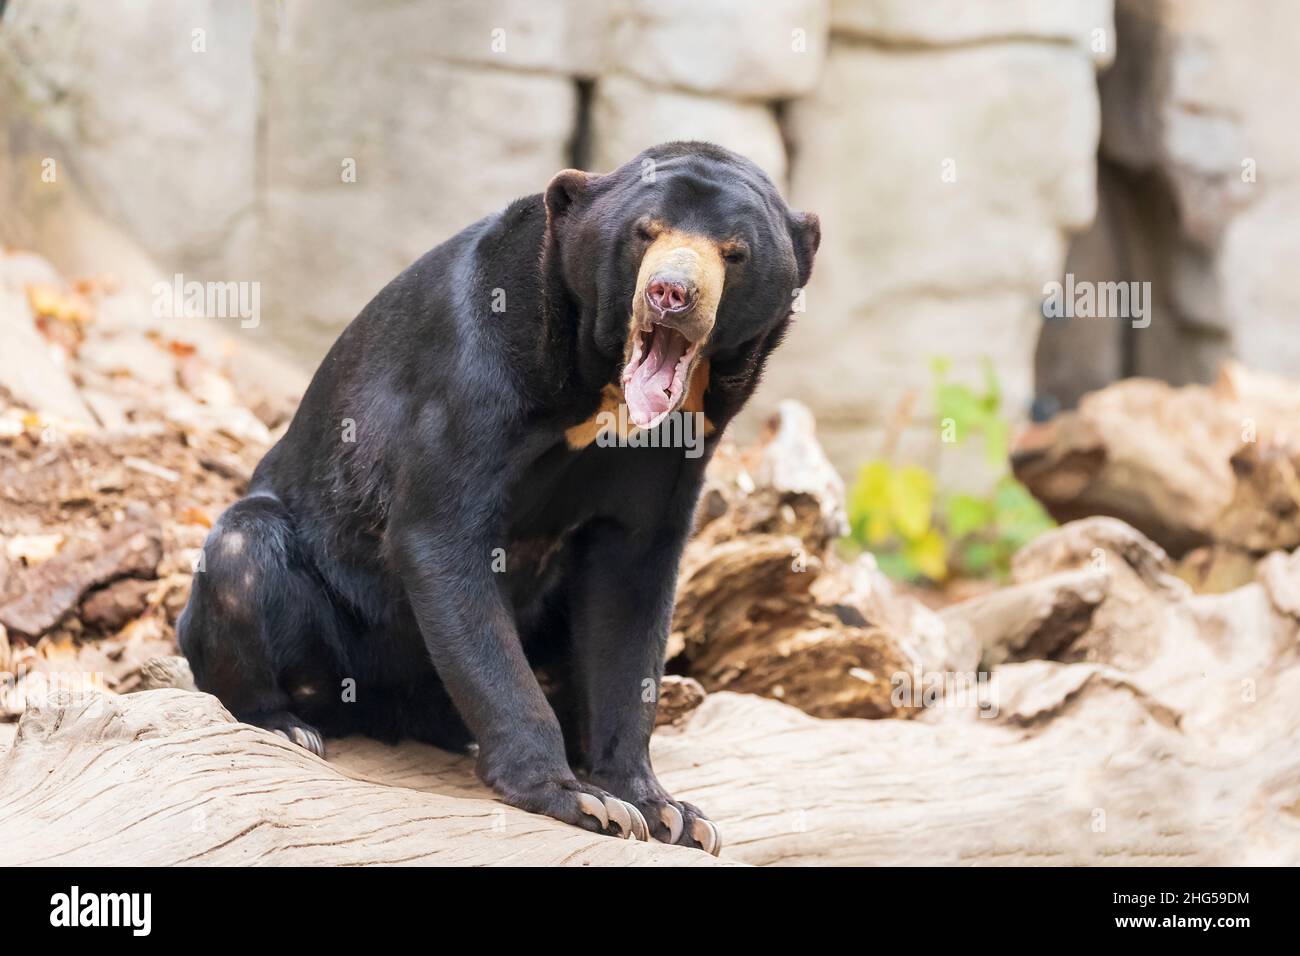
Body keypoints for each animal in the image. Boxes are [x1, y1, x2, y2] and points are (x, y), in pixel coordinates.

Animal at [176, 140, 816, 853]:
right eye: (644, 234)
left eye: (735, 252)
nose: (671, 293)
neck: (600, 389)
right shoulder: (473, 372)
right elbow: (443, 538)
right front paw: (579, 799)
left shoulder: (676, 448)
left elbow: (631, 590)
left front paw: (666, 810)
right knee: (243, 554)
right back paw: (287, 723)